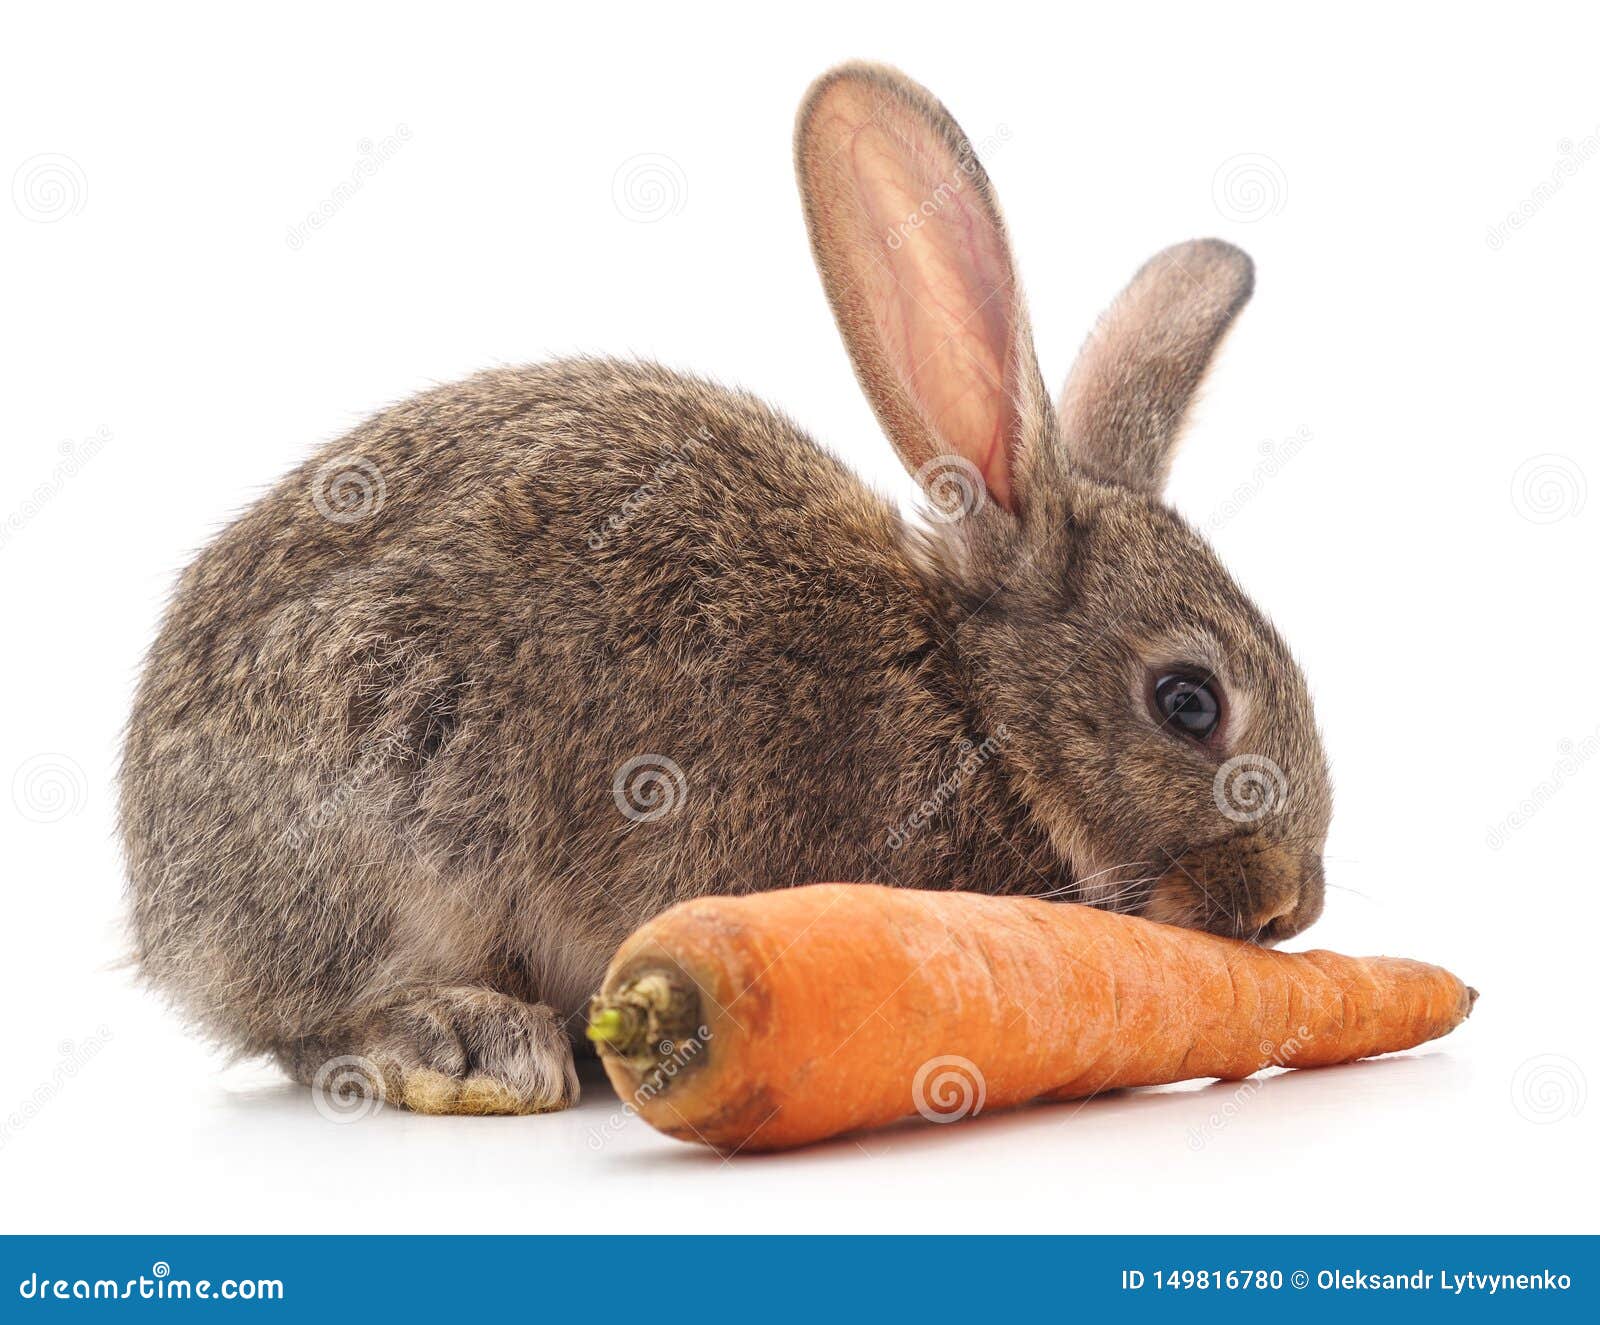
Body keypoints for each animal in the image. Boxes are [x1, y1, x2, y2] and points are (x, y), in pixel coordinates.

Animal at [119, 61, 1332, 1116]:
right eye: (1188, 701)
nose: (1295, 901)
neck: (978, 712)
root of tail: (163, 910)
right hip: (391, 796)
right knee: (309, 1023)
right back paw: (467, 1042)